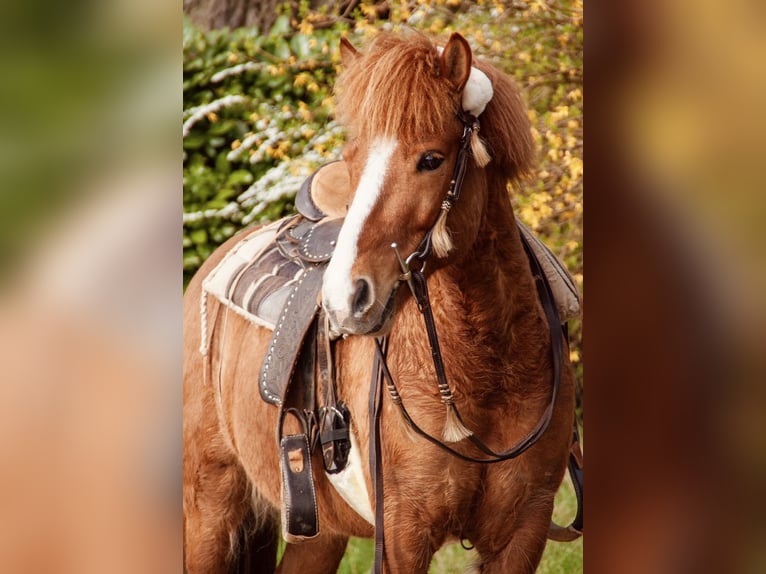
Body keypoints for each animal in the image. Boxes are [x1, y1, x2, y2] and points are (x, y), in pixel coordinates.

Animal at [183, 31, 578, 573]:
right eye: (352, 161)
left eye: (431, 159)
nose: (345, 298)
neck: (485, 372)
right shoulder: (400, 537)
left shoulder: (522, 533)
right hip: (208, 512)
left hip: (317, 534)